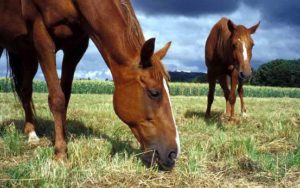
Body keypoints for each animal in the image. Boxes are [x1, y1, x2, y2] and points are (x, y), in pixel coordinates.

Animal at [0, 0, 179, 170]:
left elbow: (65, 96)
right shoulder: (42, 37)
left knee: (25, 91)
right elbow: (57, 99)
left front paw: (62, 137)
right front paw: (60, 154)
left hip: (28, 54)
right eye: (154, 92)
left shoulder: (75, 47)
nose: (173, 154)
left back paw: (31, 132)